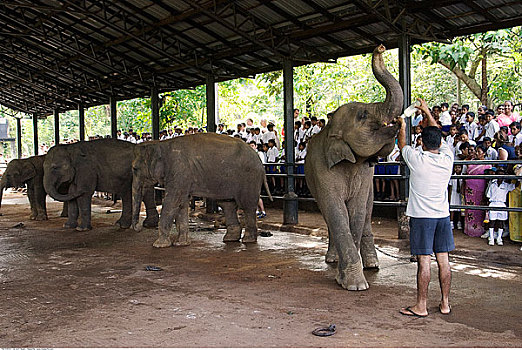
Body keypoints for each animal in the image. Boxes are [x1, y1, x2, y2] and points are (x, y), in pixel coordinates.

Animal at [130, 133, 270, 247]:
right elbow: (182, 203)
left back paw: (248, 240)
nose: (138, 227)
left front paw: (159, 245)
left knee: (247, 206)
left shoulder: (179, 170)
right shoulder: (181, 177)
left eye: (135, 169)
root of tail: (260, 163)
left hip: (249, 178)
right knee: (227, 204)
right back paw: (230, 239)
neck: (161, 143)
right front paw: (181, 244)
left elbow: (172, 202)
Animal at [304, 45, 402, 292]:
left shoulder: (365, 173)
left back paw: (372, 264)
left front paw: (351, 281)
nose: (380, 47)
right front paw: (354, 284)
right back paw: (332, 259)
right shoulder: (322, 170)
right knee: (328, 215)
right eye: (363, 115)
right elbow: (336, 212)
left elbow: (356, 212)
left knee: (367, 214)